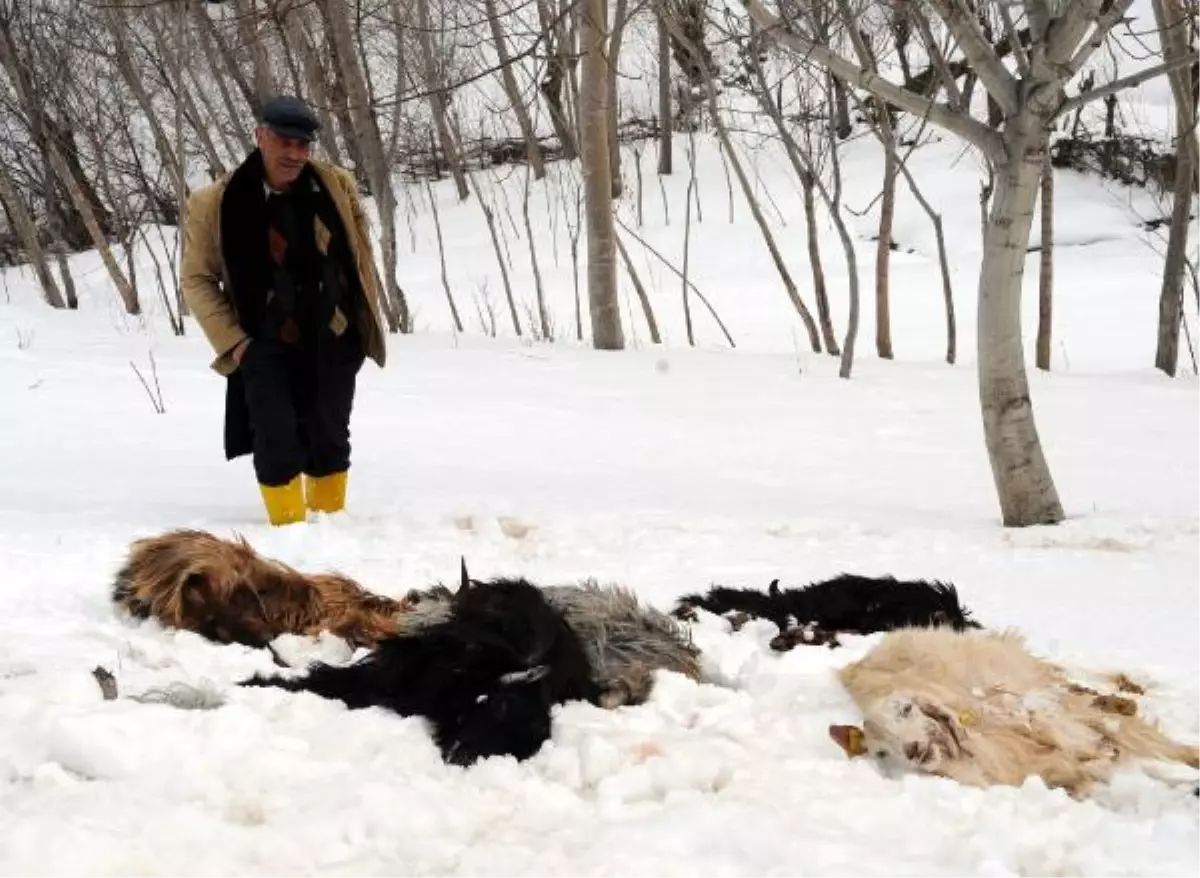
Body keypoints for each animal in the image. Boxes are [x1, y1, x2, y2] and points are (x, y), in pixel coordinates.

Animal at [825, 628, 1200, 801]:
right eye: (880, 752)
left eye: (907, 709)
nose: (914, 750)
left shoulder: (1054, 718)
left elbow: (1146, 744)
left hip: (1017, 663)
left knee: (1071, 680)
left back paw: (1128, 689)